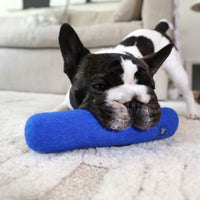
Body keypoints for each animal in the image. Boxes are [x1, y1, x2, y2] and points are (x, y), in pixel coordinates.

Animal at [54, 19, 199, 130]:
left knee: (187, 92)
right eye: (98, 86)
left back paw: (193, 112)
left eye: (151, 87)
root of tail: (157, 29)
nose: (133, 102)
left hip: (177, 72)